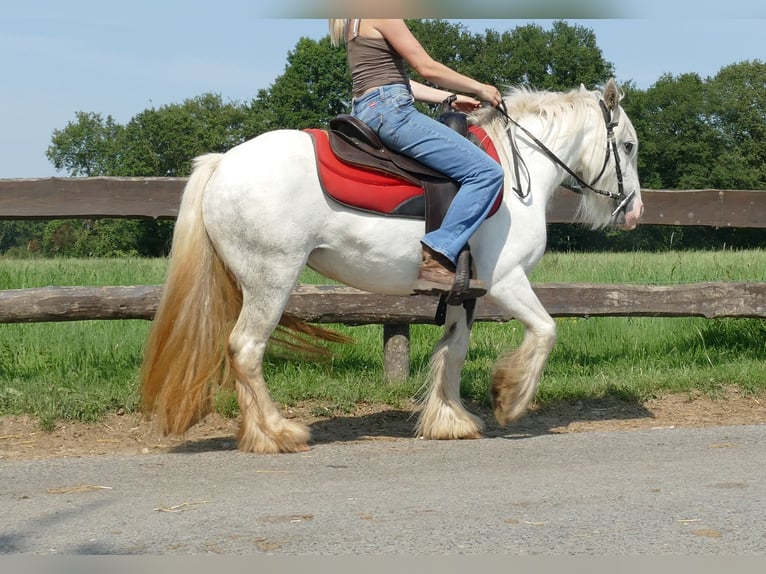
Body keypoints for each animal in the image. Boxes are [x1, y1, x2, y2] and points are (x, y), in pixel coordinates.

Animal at [141, 79, 644, 454]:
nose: (635, 211)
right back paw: (279, 433)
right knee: (246, 349)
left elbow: (454, 349)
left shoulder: (465, 291)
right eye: (628, 146)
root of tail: (223, 162)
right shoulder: (506, 280)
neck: (516, 172)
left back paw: (259, 434)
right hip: (271, 280)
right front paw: (509, 398)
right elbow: (545, 330)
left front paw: (450, 420)